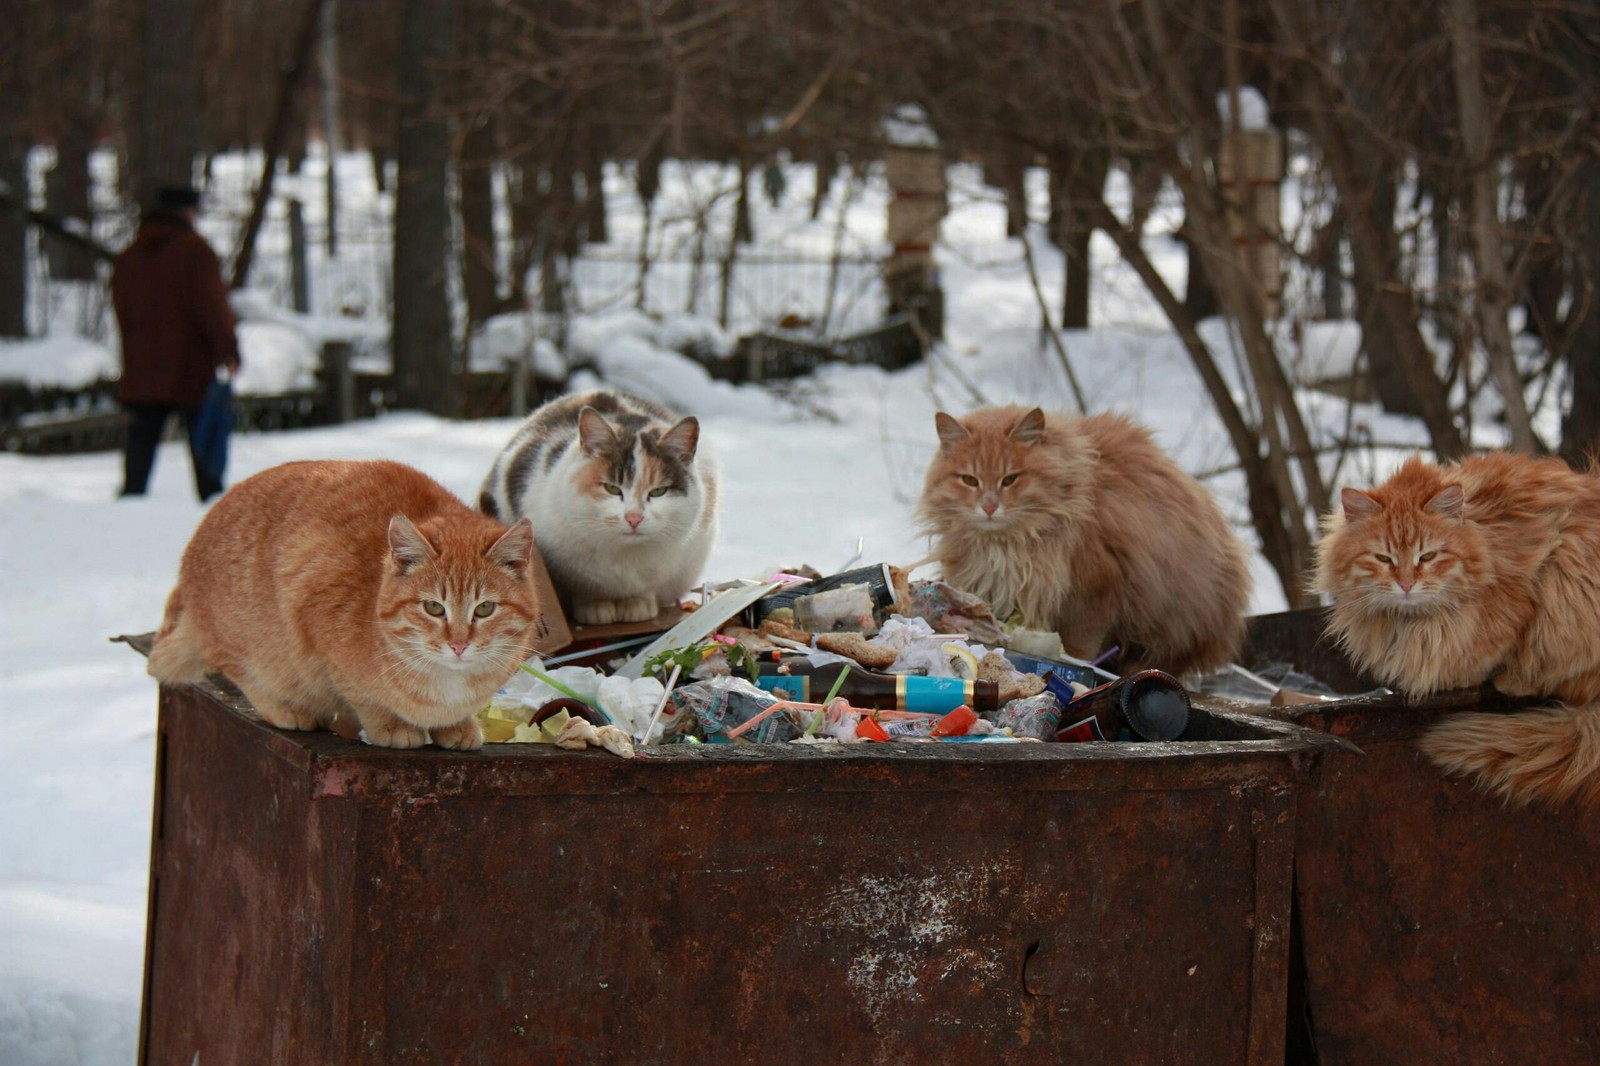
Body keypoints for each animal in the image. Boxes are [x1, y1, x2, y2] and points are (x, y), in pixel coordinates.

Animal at [145, 457, 544, 745]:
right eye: (433, 608)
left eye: (485, 608)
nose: (459, 645)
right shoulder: (314, 619)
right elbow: (362, 696)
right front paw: (389, 726)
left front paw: (458, 726)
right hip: (243, 641)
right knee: (237, 670)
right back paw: (286, 709)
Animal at [480, 388, 720, 624]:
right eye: (612, 488)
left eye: (658, 491)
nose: (634, 518)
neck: (624, 557)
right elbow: (586, 589)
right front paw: (595, 609)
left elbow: (645, 588)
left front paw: (637, 606)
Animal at [915, 404, 1248, 672]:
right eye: (969, 480)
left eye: (1010, 479)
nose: (988, 506)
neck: (1007, 545)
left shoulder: (1094, 593)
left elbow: (1078, 648)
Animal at [1312, 448, 1600, 806]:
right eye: (1383, 559)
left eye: (1427, 557)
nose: (1406, 584)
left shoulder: (1525, 593)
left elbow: (1490, 649)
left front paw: (1475, 677)